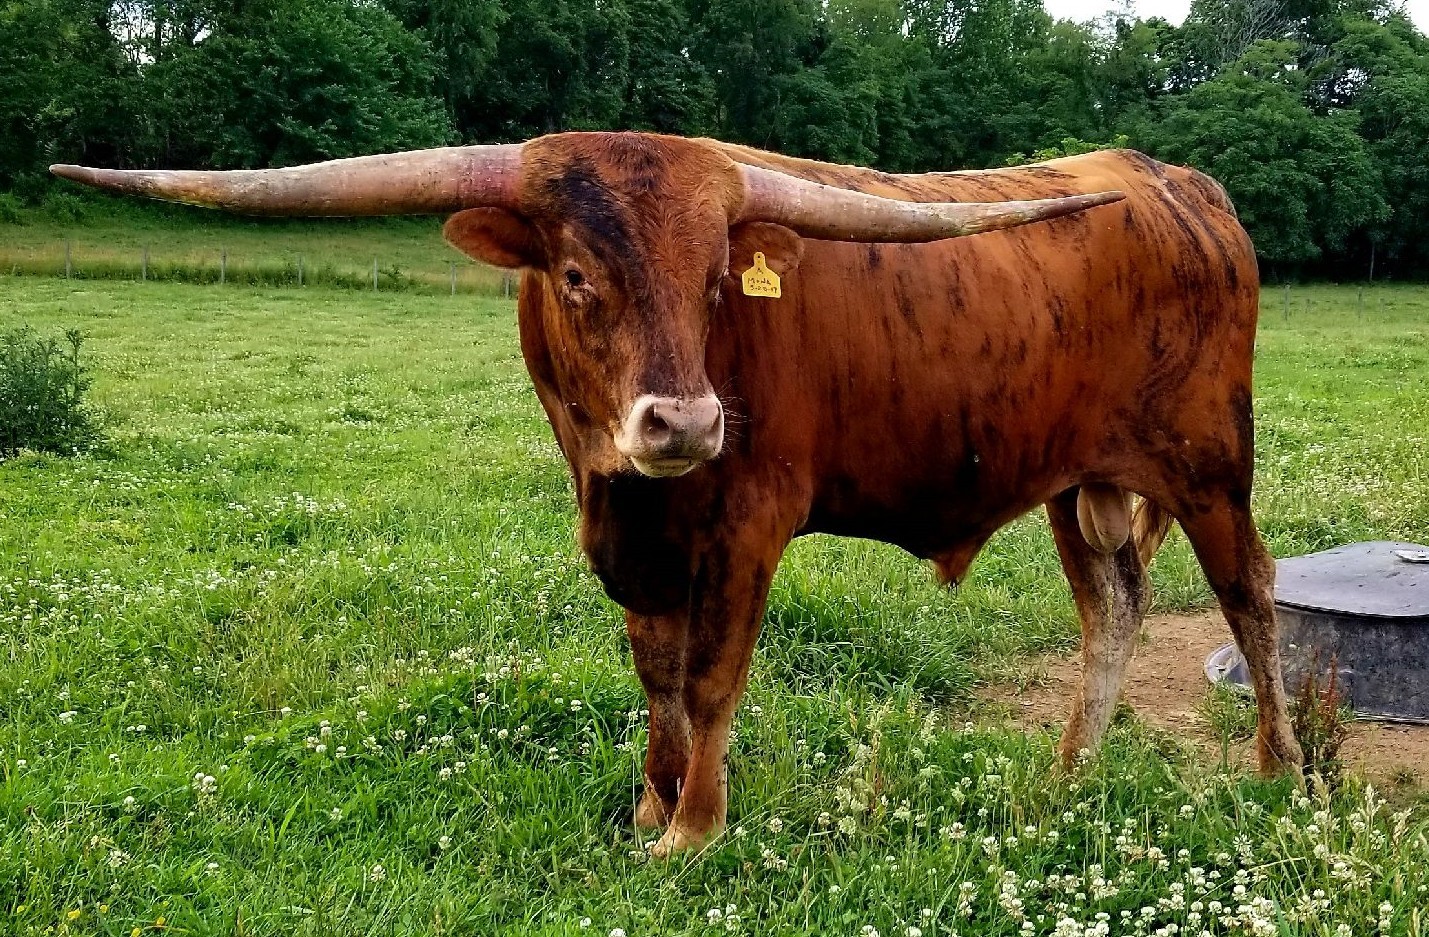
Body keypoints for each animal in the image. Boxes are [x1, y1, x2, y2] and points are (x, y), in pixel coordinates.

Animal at [54, 132, 1304, 856]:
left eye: (715, 281)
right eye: (574, 273)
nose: (685, 425)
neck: (619, 485)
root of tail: (1172, 183)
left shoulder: (748, 525)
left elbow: (709, 681)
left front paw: (694, 830)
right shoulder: (630, 536)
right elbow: (653, 674)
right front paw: (652, 803)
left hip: (1210, 461)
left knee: (1249, 593)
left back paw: (1278, 771)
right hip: (1081, 481)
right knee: (1111, 608)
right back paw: (1067, 775)